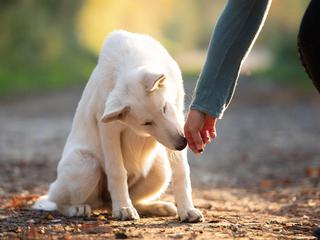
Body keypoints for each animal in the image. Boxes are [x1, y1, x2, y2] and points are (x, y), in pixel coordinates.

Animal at [33, 30, 204, 223]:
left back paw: (157, 207)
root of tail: (105, 203)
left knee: (131, 200)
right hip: (86, 165)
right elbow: (117, 172)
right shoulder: (109, 130)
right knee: (60, 201)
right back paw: (80, 208)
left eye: (164, 108)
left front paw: (187, 210)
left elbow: (181, 172)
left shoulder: (178, 114)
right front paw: (123, 208)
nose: (182, 144)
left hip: (161, 171)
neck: (130, 59)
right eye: (146, 123)